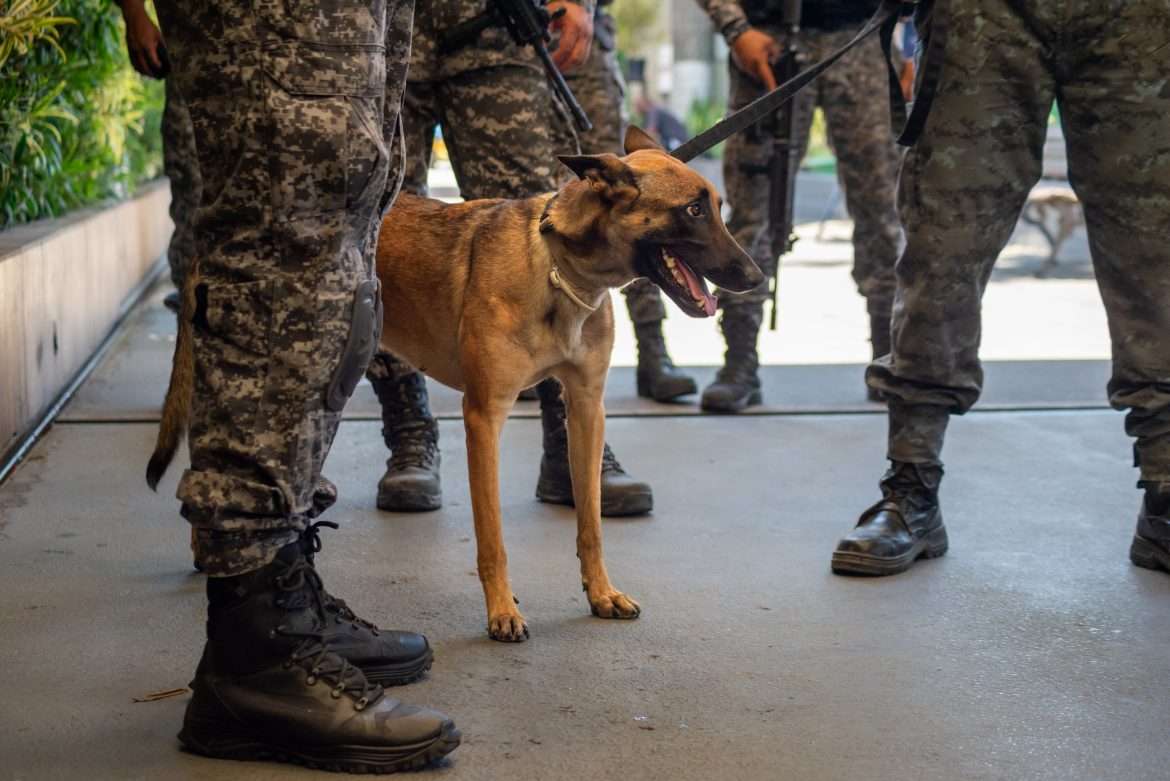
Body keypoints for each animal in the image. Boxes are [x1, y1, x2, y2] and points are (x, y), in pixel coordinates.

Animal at [372, 129, 758, 640]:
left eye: (716, 205)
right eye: (694, 210)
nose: (756, 277)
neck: (560, 270)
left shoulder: (586, 407)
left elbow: (591, 521)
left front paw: (602, 593)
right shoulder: (485, 417)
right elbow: (492, 535)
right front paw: (502, 610)